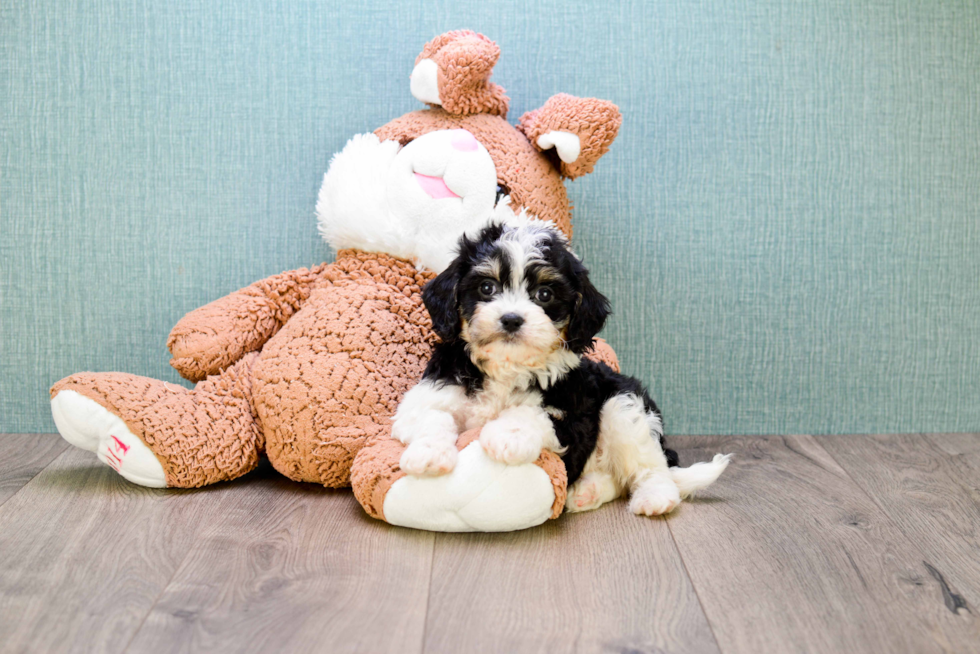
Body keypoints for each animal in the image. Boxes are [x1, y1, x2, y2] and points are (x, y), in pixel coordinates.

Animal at [392, 223, 728, 516]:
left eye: (545, 294)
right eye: (487, 287)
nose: (511, 319)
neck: (507, 366)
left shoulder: (573, 415)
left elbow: (534, 414)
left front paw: (507, 435)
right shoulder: (430, 393)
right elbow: (431, 416)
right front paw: (428, 453)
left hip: (624, 406)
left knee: (651, 466)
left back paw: (655, 497)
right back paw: (586, 492)